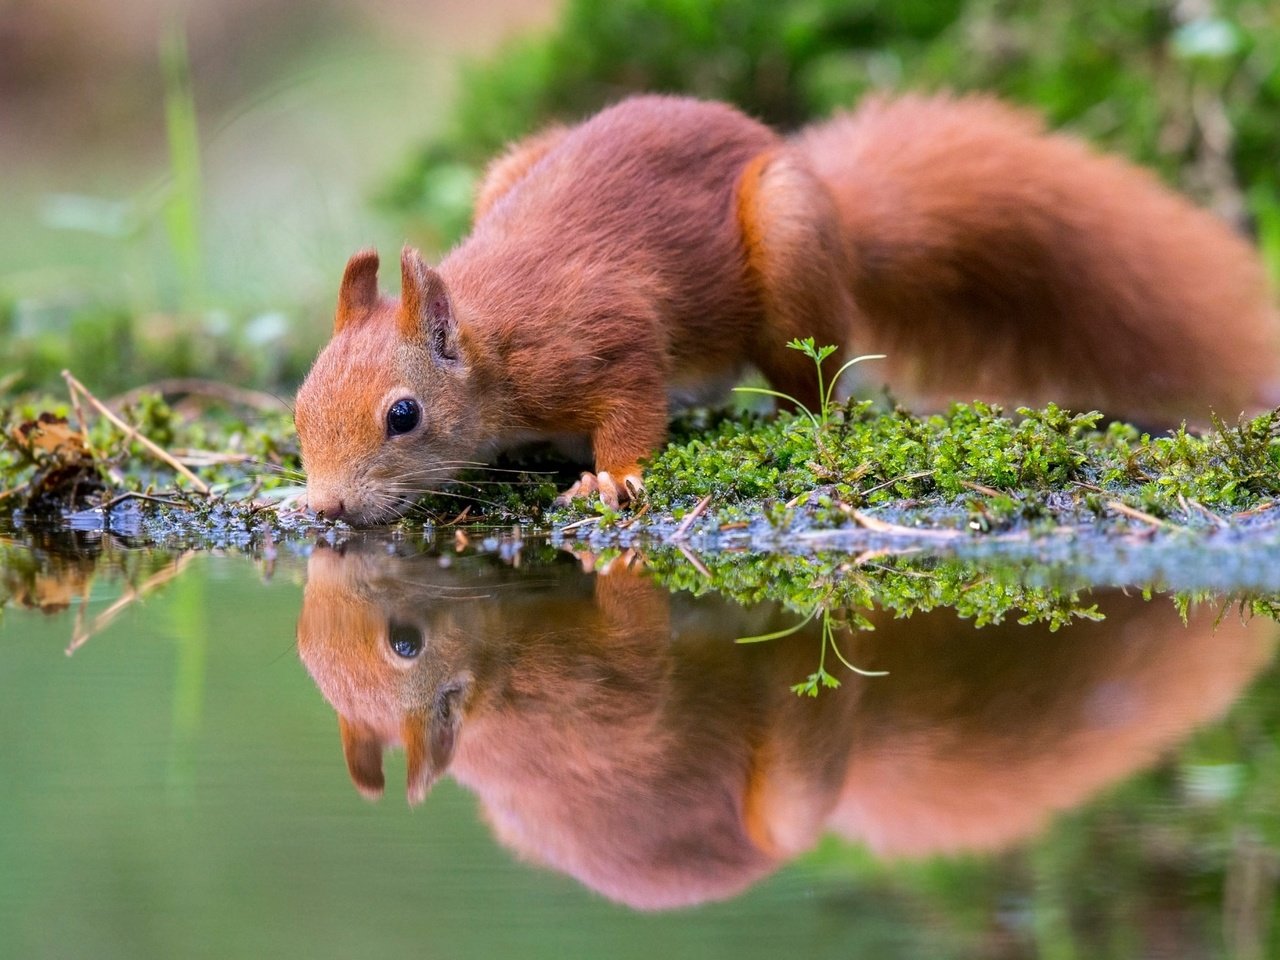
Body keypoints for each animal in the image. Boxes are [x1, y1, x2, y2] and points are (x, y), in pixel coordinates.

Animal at [294, 94, 1274, 522]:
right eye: (300, 407)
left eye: (404, 416)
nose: (329, 509)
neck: (493, 342)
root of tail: (831, 197)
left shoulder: (605, 338)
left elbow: (632, 405)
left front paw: (612, 477)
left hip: (792, 252)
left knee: (820, 383)